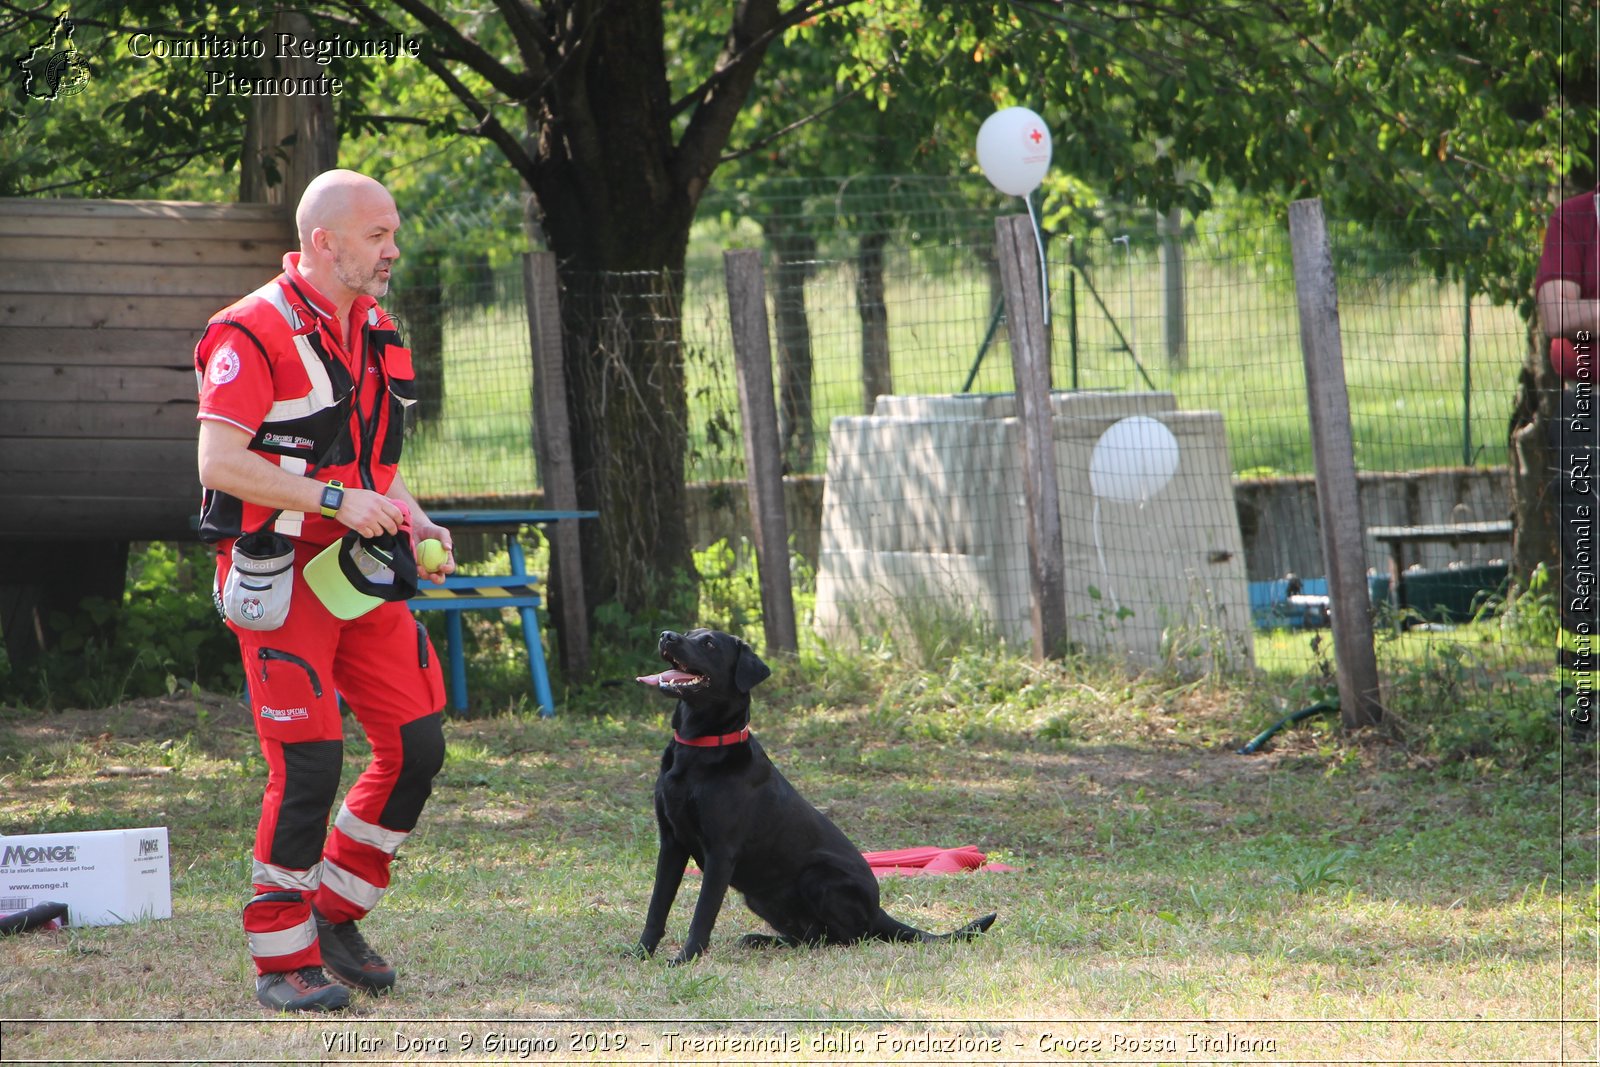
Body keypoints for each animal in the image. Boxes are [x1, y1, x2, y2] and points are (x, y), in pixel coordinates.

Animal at [630, 630, 992, 966]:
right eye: (690, 633)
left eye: (708, 643)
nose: (666, 635)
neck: (698, 750)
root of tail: (879, 910)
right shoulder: (671, 842)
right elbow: (657, 907)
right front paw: (640, 952)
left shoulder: (721, 851)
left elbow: (702, 914)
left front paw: (685, 958)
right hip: (761, 898)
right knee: (810, 935)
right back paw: (762, 940)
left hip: (817, 876)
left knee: (849, 937)